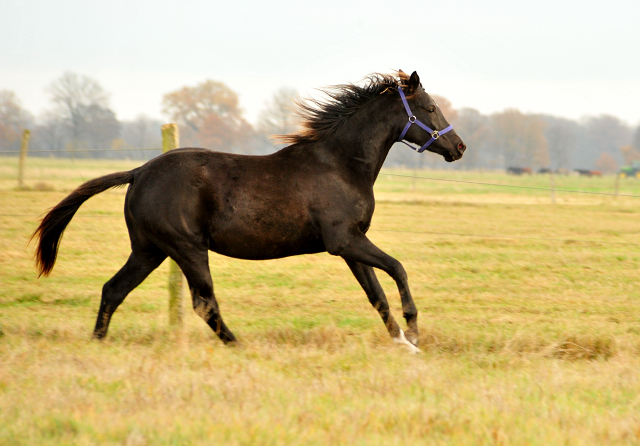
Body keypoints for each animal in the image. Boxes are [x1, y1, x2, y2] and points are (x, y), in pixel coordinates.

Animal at [31, 70, 464, 352]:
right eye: (429, 108)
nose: (459, 147)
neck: (340, 164)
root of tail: (138, 172)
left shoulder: (351, 245)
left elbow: (377, 295)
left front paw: (403, 344)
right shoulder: (344, 241)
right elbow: (398, 269)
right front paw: (415, 334)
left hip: (149, 250)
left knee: (114, 289)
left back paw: (97, 343)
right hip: (187, 247)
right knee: (204, 302)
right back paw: (239, 346)